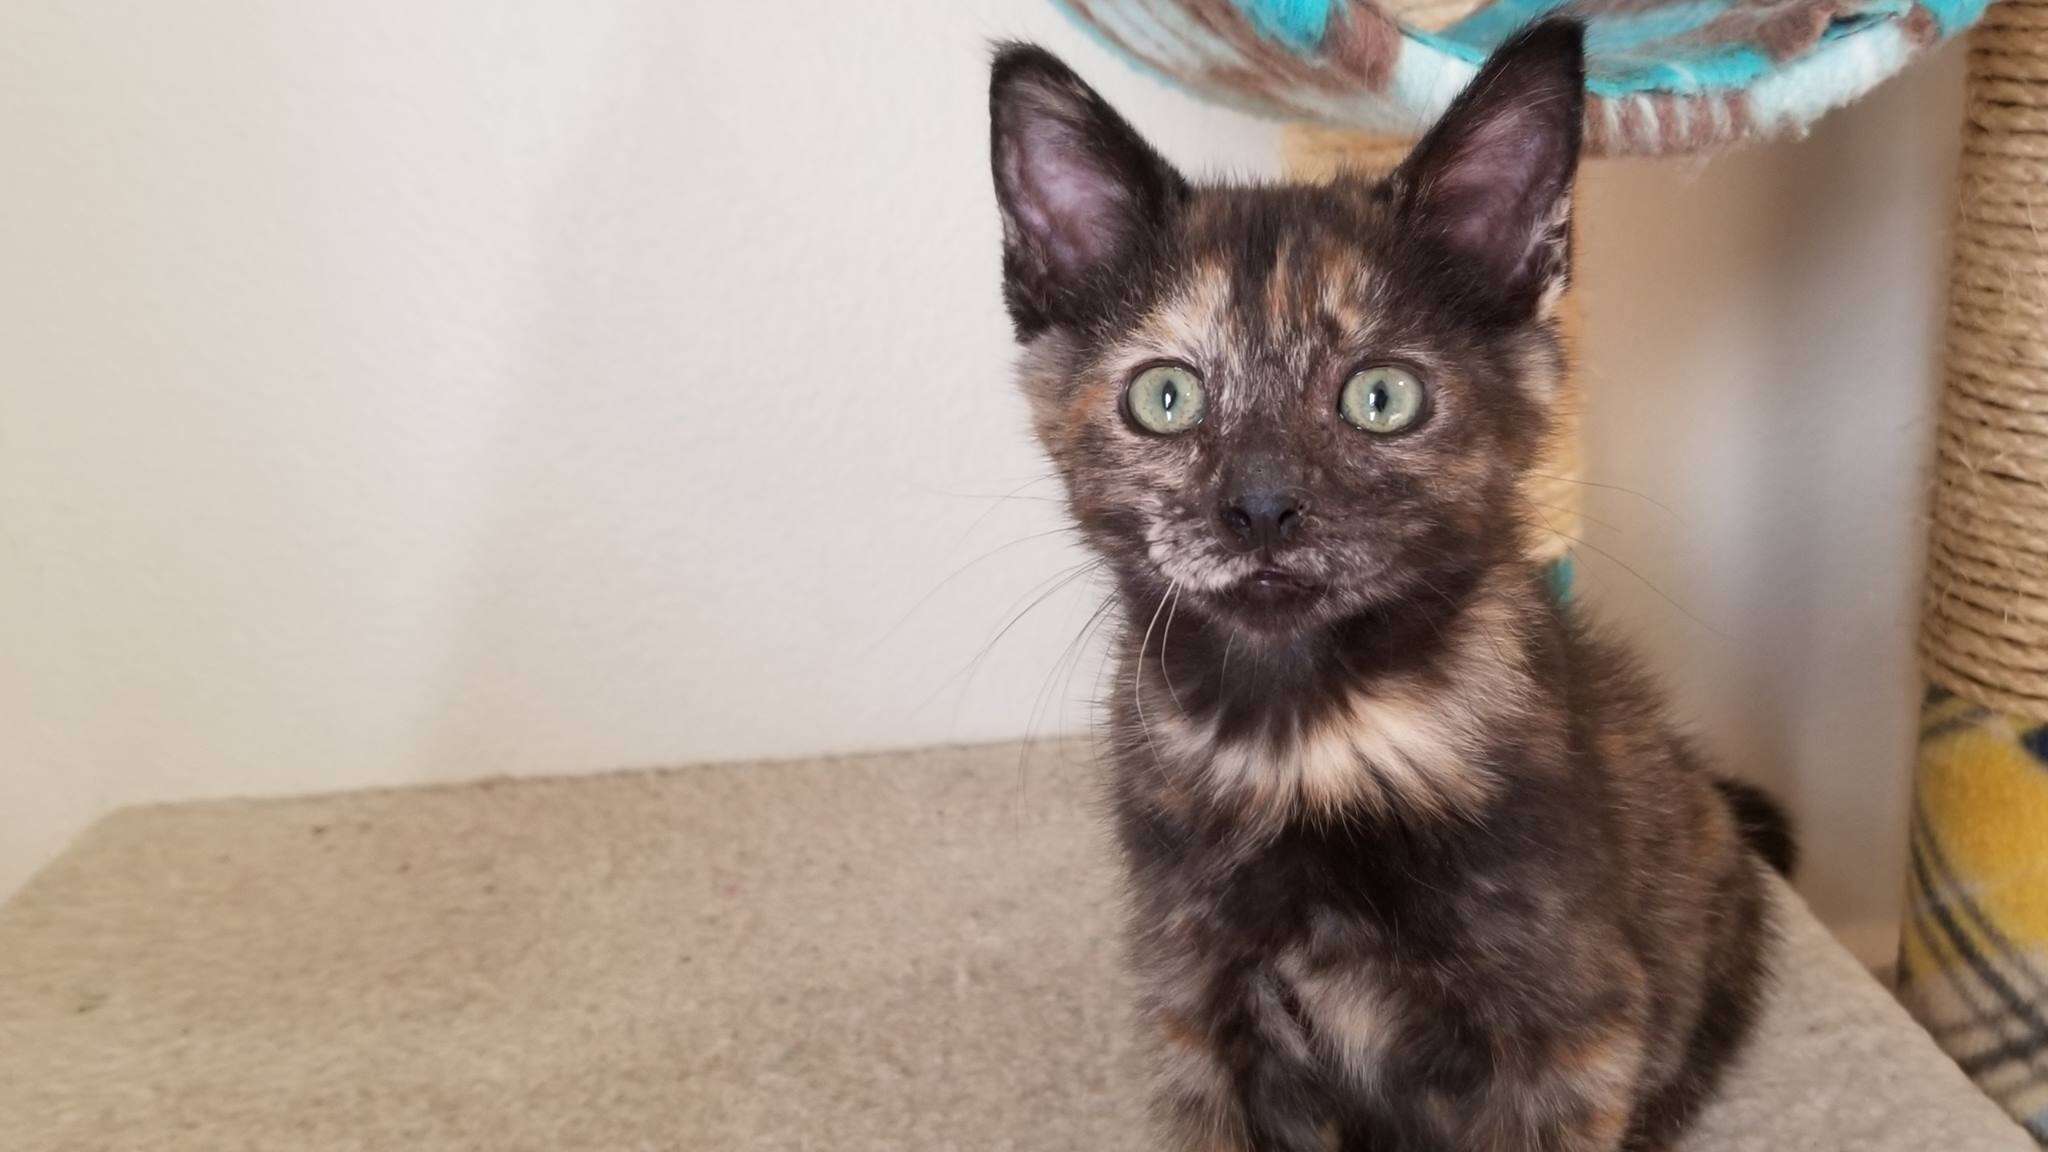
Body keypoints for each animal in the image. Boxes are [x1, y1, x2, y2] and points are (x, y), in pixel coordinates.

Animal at [991, 17, 1794, 1147]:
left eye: (1381, 397)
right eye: (1165, 397)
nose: (1261, 506)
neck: (1309, 740)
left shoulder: (1573, 1034)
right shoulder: (1198, 1013)